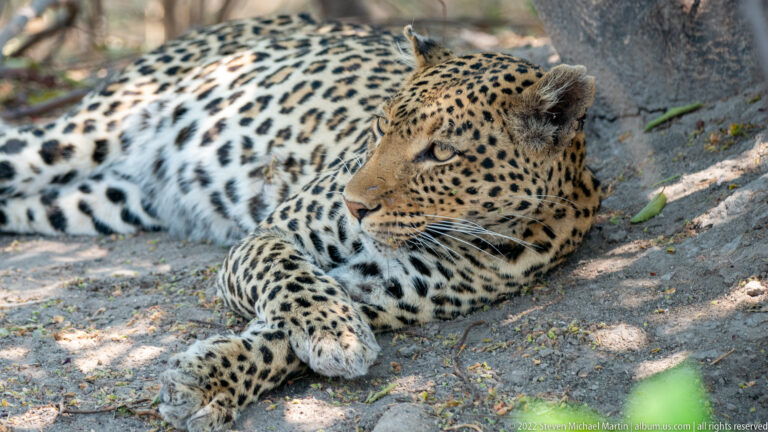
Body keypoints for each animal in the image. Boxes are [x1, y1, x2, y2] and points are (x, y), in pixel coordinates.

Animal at [0, 14, 601, 431]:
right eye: (380, 126)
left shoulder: (376, 293)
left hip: (100, 201)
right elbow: (293, 280)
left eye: (441, 153)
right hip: (79, 135)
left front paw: (206, 383)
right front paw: (333, 333)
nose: (354, 204)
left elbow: (275, 343)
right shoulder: (268, 235)